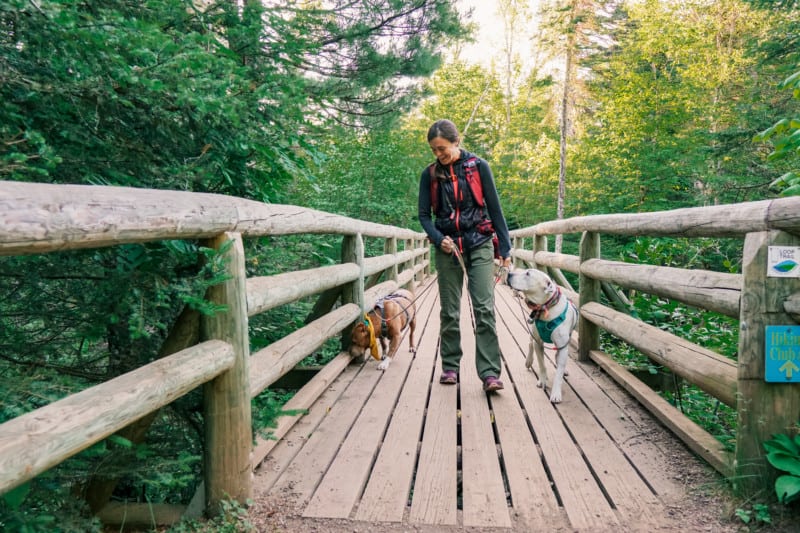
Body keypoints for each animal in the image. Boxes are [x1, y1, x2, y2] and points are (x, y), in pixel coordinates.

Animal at [510, 268, 580, 402]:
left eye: (528, 274)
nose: (509, 274)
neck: (547, 307)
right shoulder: (538, 342)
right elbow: (542, 364)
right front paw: (542, 381)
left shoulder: (563, 346)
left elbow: (559, 373)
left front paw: (556, 393)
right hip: (532, 329)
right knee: (530, 343)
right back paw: (529, 361)